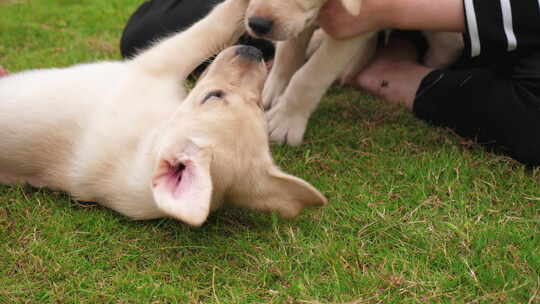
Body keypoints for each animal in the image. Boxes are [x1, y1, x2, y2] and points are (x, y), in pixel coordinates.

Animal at [0, 0, 326, 227]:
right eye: (214, 96)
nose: (254, 52)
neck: (147, 140)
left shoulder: (158, 61)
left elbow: (213, 26)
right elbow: (215, 26)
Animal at [247, 0, 462, 146]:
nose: (257, 24)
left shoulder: (355, 23)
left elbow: (310, 76)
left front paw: (285, 121)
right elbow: (287, 53)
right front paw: (271, 92)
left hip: (443, 36)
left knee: (445, 50)